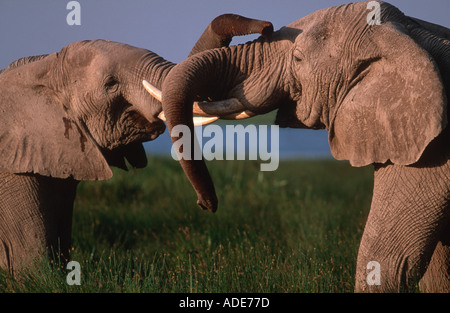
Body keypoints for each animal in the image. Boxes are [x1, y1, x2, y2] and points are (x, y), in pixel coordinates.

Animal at [148, 1, 450, 292]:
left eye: (298, 58)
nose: (206, 204)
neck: (410, 31)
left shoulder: (431, 154)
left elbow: (385, 257)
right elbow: (435, 271)